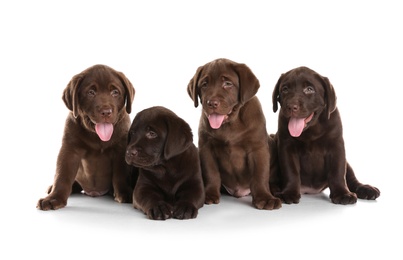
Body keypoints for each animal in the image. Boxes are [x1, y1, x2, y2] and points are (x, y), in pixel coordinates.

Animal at [36, 64, 134, 210]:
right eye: (91, 92)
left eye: (115, 92)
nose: (106, 112)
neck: (97, 137)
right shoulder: (69, 149)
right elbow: (62, 174)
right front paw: (54, 198)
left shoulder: (120, 149)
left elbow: (120, 174)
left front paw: (124, 193)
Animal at [189, 58, 280, 210]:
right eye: (204, 85)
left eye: (228, 84)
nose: (211, 103)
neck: (230, 124)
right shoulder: (206, 148)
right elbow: (211, 173)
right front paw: (210, 194)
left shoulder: (258, 149)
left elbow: (260, 174)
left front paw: (265, 198)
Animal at [274, 66, 380, 204]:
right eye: (285, 89)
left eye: (309, 89)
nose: (291, 106)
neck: (311, 130)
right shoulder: (286, 146)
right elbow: (290, 171)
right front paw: (289, 192)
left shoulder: (336, 146)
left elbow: (337, 171)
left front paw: (342, 194)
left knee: (351, 179)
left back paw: (366, 189)